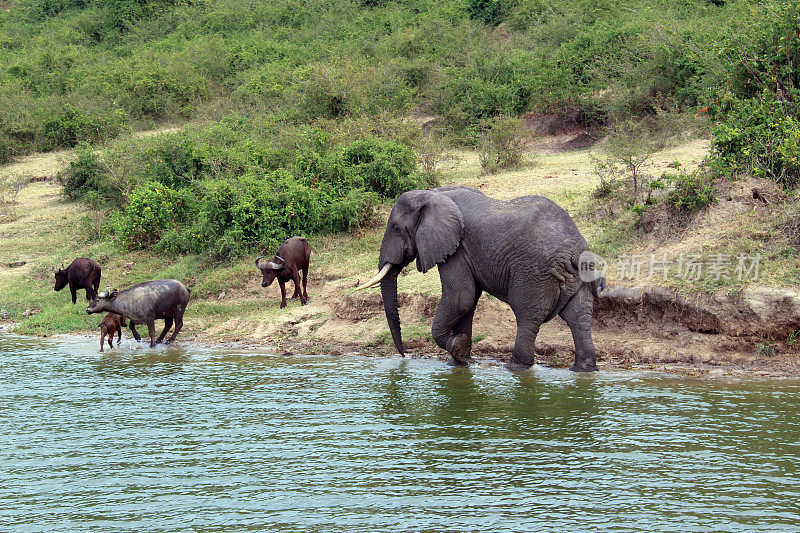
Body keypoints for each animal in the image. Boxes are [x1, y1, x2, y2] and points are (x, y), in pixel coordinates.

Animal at [360, 185, 604, 372]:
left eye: (396, 228)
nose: (404, 355)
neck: (432, 194)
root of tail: (575, 249)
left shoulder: (457, 248)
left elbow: (460, 298)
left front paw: (458, 348)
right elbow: (467, 303)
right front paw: (460, 362)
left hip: (534, 273)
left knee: (527, 316)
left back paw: (515, 368)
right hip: (577, 275)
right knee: (578, 317)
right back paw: (583, 369)